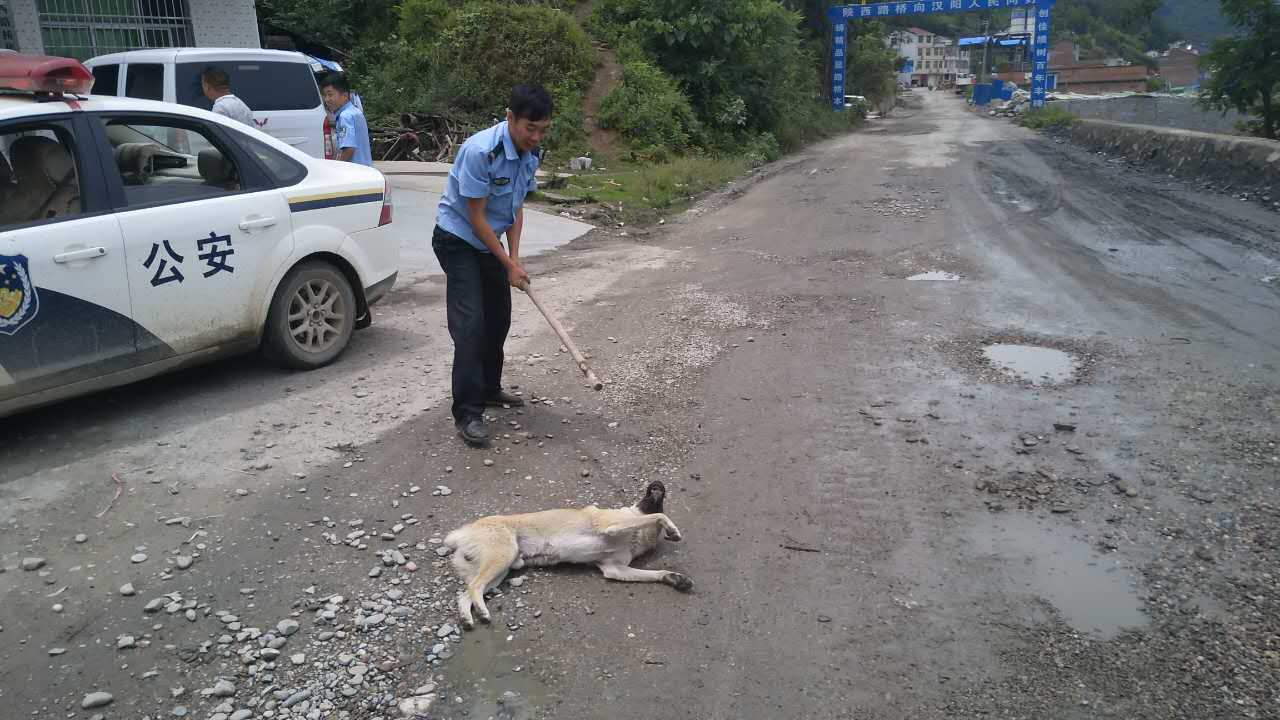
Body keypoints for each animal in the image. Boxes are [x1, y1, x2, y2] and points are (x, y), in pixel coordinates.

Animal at [445, 479, 696, 625]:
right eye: (652, 496)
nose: (658, 483)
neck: (639, 535)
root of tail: (463, 532)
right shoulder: (612, 525)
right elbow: (658, 516)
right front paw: (673, 530)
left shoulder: (615, 569)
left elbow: (654, 573)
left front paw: (675, 578)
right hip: (502, 557)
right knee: (474, 587)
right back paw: (482, 613)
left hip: (501, 571)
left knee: (466, 592)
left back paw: (469, 617)